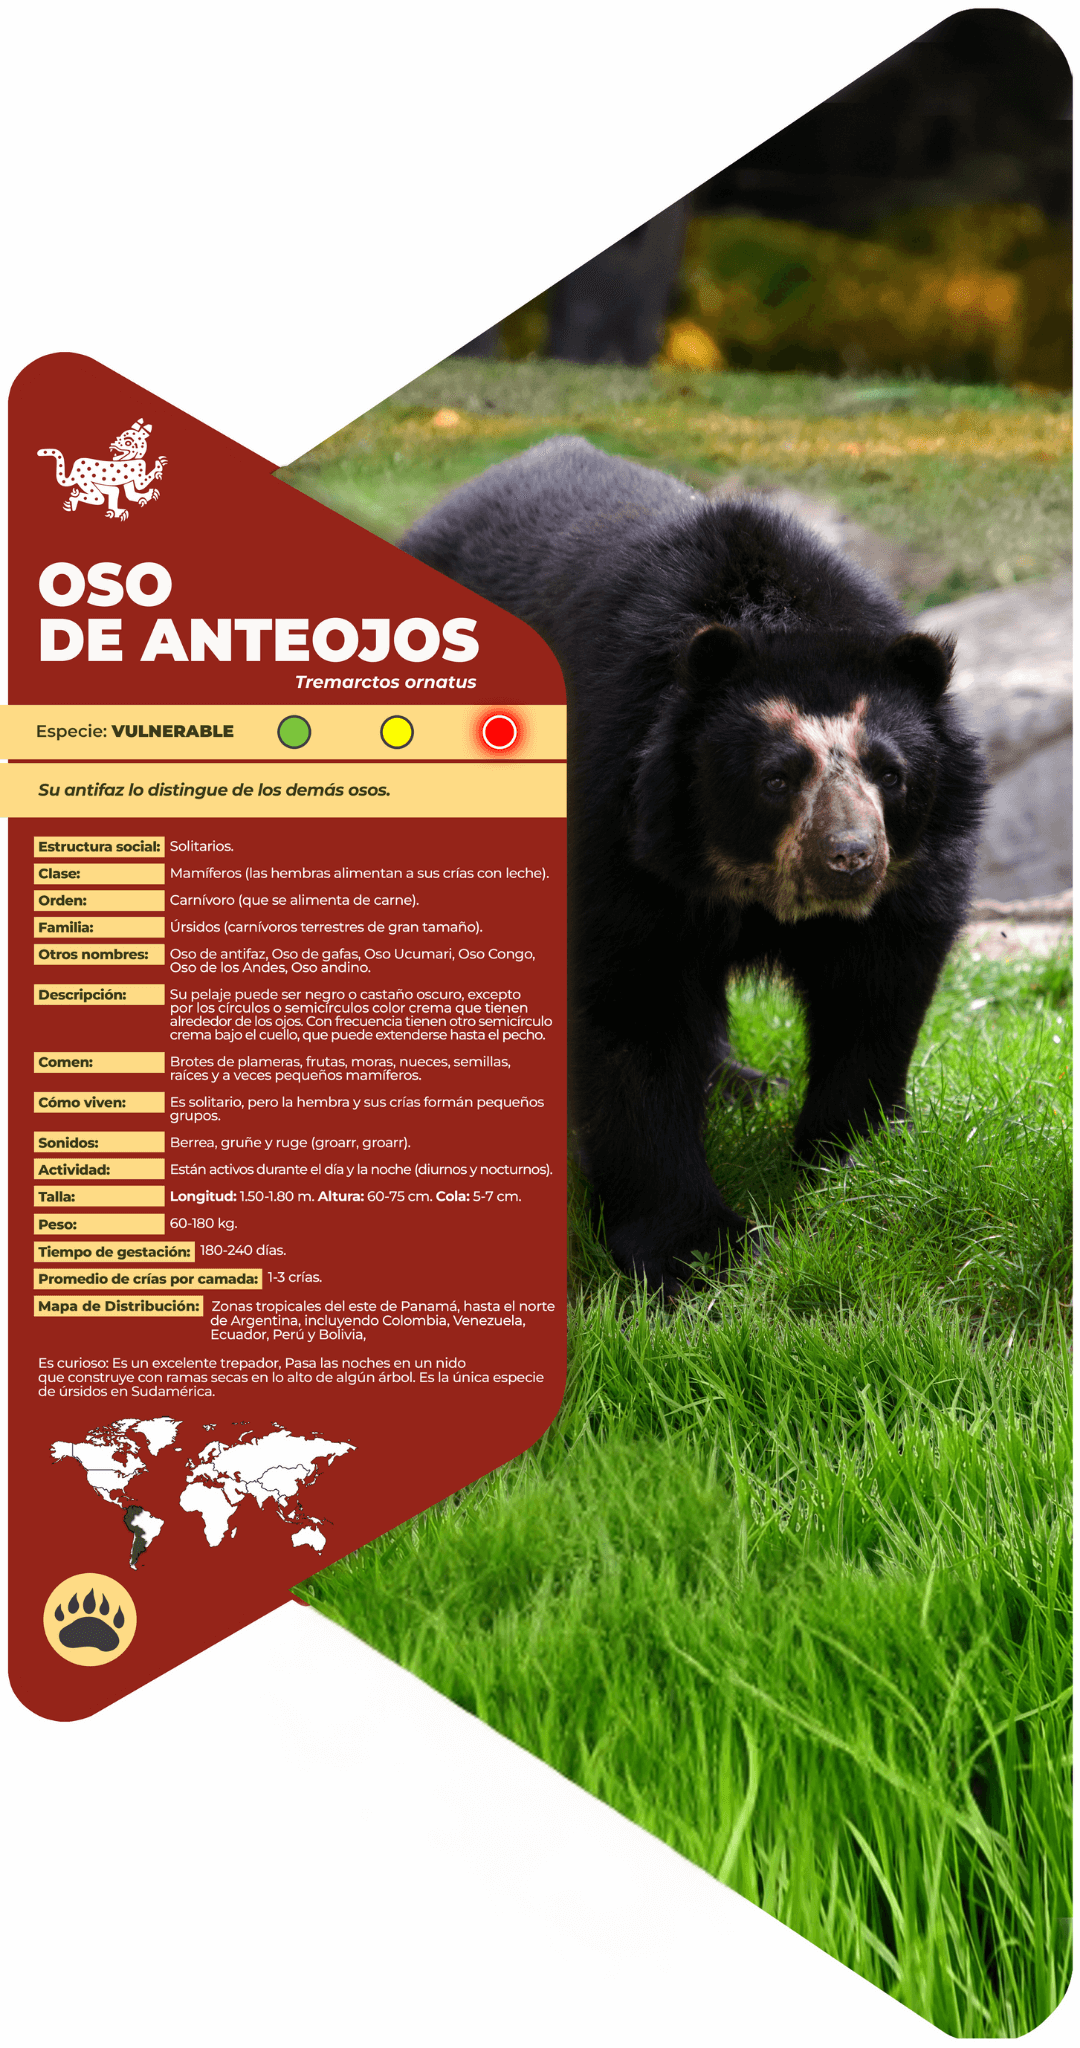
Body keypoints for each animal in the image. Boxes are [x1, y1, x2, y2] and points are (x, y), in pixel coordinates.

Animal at [401, 437, 986, 1295]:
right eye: (776, 777)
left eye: (891, 773)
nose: (850, 860)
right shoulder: (618, 818)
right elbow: (630, 1006)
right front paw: (696, 1255)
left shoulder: (913, 873)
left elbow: (878, 987)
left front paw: (854, 1162)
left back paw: (745, 1085)